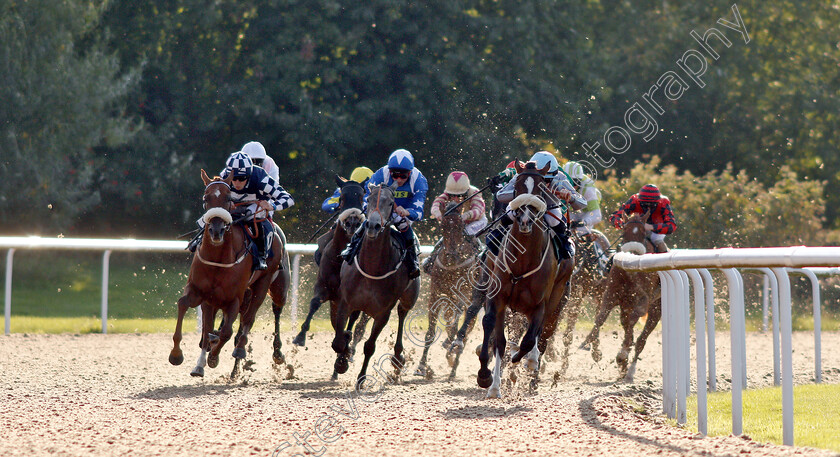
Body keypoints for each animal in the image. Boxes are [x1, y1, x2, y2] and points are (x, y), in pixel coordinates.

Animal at [171, 171, 288, 378]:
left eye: (228, 198)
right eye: (205, 198)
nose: (216, 231)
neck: (218, 259)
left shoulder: (234, 298)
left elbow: (227, 331)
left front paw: (213, 357)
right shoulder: (201, 292)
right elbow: (186, 306)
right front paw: (179, 355)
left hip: (269, 285)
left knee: (256, 316)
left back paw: (261, 351)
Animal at [330, 182, 418, 384]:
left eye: (391, 202)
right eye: (368, 199)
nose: (372, 225)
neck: (371, 268)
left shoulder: (383, 312)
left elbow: (370, 346)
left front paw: (361, 378)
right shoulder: (346, 302)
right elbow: (339, 342)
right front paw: (342, 361)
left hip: (409, 297)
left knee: (402, 312)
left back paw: (398, 357)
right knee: (353, 322)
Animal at [414, 201, 480, 380]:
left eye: (460, 226)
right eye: (443, 225)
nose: (451, 255)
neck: (451, 267)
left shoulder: (464, 295)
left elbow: (456, 327)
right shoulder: (435, 295)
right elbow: (430, 333)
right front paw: (422, 367)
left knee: (466, 331)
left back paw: (453, 368)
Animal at [480, 162, 576, 398]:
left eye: (541, 190)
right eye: (516, 188)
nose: (525, 220)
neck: (521, 261)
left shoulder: (540, 305)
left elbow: (530, 340)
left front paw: (525, 361)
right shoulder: (497, 297)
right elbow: (495, 334)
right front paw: (487, 378)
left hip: (557, 303)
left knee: (542, 337)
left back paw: (531, 373)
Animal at [576, 210, 664, 382]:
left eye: (643, 233)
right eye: (624, 232)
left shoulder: (643, 300)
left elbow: (632, 322)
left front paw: (622, 355)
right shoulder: (610, 296)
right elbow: (601, 318)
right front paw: (588, 343)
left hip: (656, 309)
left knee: (641, 339)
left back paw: (629, 370)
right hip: (626, 305)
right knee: (627, 325)